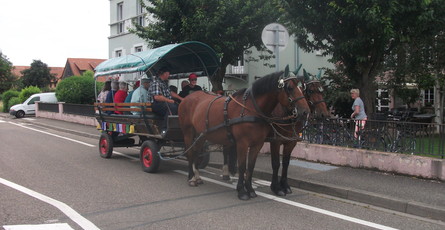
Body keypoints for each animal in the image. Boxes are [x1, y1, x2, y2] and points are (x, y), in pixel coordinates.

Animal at [177, 69, 308, 199]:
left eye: (302, 87)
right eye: (290, 88)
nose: (305, 112)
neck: (251, 109)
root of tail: (187, 98)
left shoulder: (258, 144)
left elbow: (251, 166)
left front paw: (250, 189)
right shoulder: (244, 143)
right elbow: (242, 166)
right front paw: (242, 191)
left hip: (201, 135)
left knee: (196, 152)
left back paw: (197, 176)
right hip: (188, 132)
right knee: (190, 153)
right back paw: (191, 177)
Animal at [268, 68, 330, 196]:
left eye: (321, 90)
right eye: (310, 90)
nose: (324, 114)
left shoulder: (291, 142)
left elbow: (285, 163)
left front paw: (285, 186)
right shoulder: (275, 142)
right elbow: (276, 164)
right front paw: (276, 187)